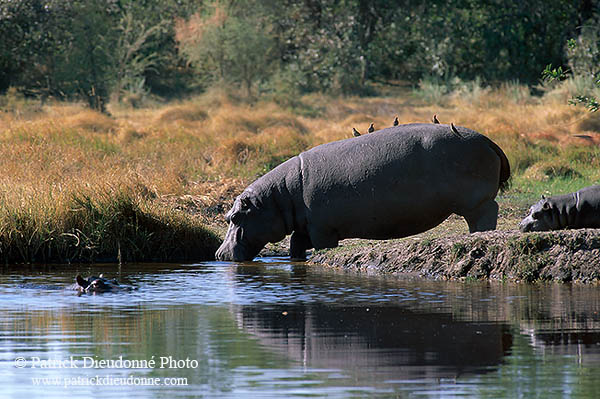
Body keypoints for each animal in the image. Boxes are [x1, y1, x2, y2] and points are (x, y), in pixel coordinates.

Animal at [216, 123, 510, 264]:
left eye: (235, 217)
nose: (218, 255)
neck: (279, 197)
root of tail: (488, 140)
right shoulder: (306, 227)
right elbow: (296, 245)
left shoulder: (323, 230)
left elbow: (321, 246)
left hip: (475, 202)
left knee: (487, 214)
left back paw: (478, 235)